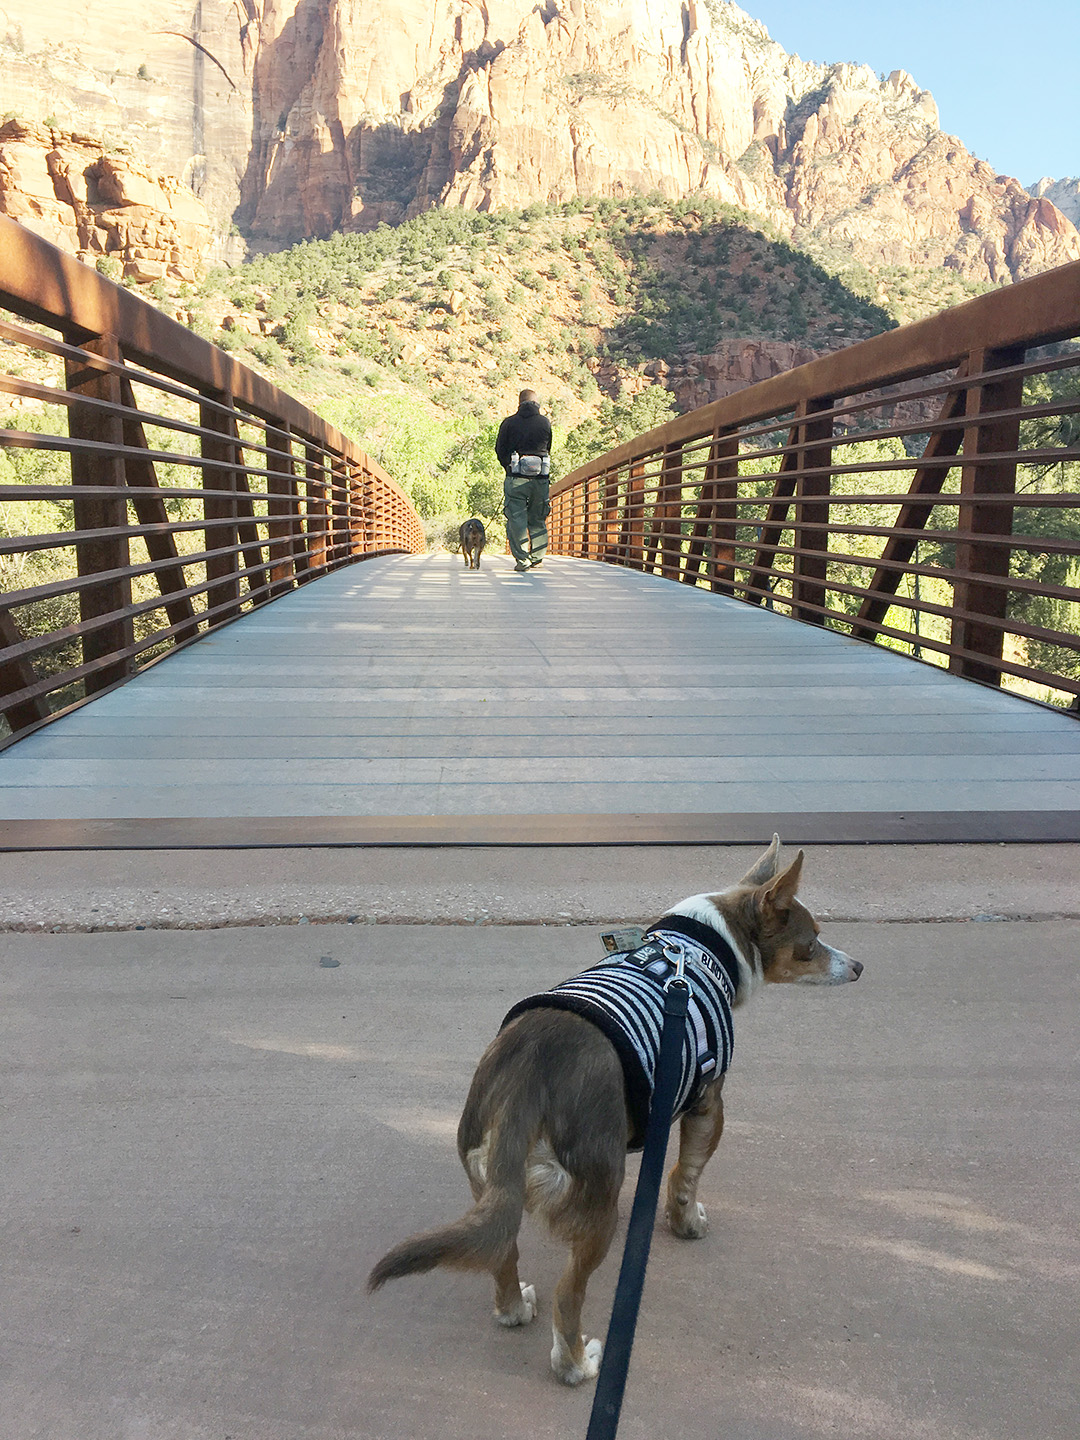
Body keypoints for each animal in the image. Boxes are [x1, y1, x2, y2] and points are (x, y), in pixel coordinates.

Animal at [371, 840, 864, 1388]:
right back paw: (575, 1364)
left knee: (503, 1253)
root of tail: (528, 1071)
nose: (859, 966)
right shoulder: (707, 1105)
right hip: (599, 1198)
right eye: (812, 942)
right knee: (568, 1294)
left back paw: (514, 1309)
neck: (701, 947)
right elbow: (685, 1175)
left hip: (492, 1183)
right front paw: (687, 1222)